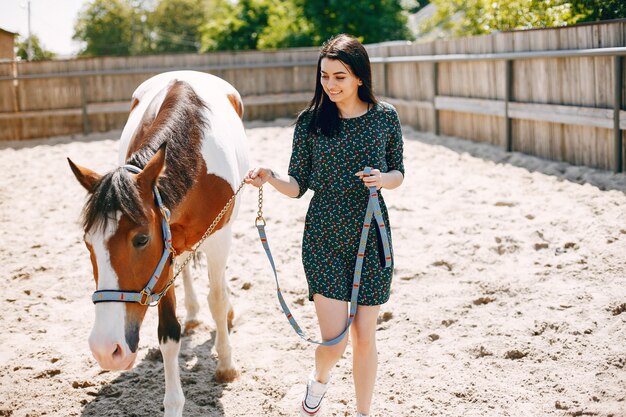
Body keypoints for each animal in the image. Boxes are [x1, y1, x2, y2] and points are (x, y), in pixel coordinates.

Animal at [66, 71, 246, 416]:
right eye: (87, 243)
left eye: (141, 239)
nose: (106, 350)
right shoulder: (164, 259)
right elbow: (168, 332)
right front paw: (174, 403)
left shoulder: (218, 237)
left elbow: (217, 300)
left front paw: (226, 364)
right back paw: (193, 315)